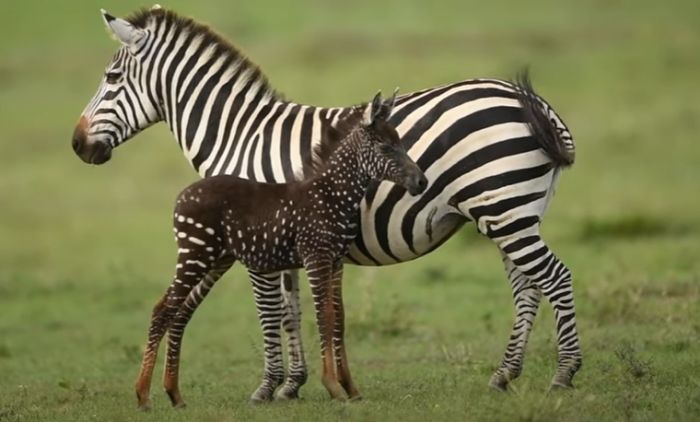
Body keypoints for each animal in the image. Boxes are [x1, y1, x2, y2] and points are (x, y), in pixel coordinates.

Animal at [72, 7, 581, 402]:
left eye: (111, 78)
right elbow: (294, 310)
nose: (77, 145)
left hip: (503, 207)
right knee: (527, 285)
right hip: (512, 212)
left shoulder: (259, 241)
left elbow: (271, 312)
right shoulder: (283, 240)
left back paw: (564, 374)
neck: (241, 136)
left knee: (553, 278)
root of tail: (531, 101)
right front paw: (293, 385)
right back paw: (504, 375)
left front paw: (268, 387)